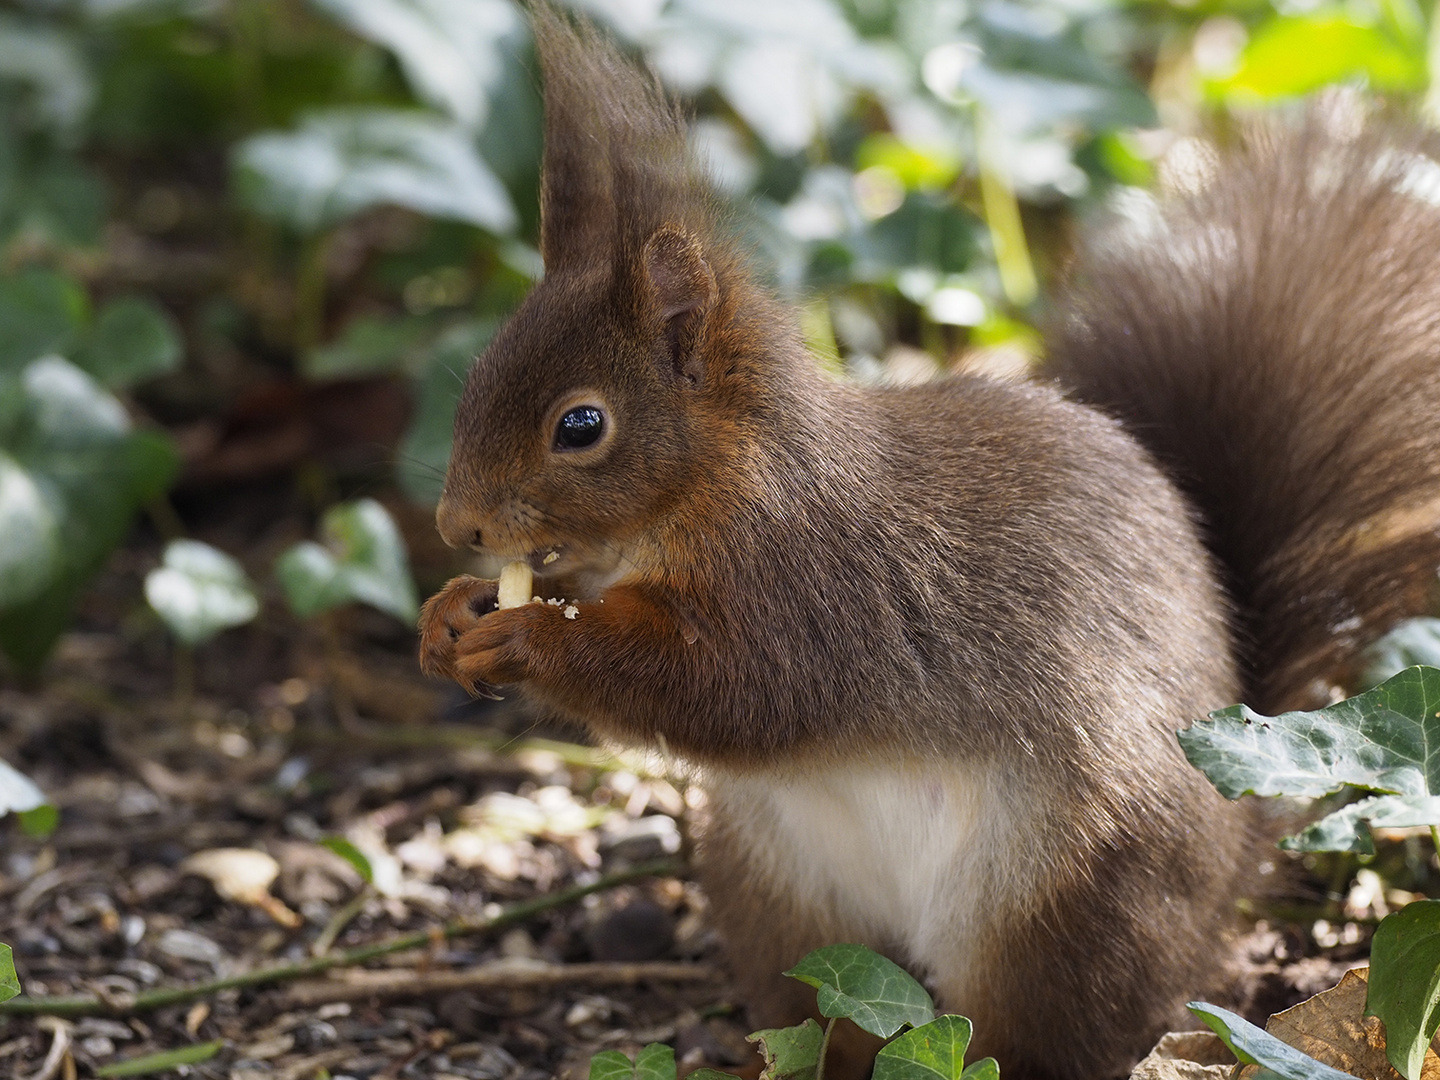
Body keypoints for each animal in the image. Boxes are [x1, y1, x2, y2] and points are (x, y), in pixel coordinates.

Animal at [414, 8, 1440, 1080]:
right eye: (477, 372)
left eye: (581, 426)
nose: (456, 526)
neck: (717, 483)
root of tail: (1237, 852)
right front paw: (448, 616)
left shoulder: (813, 586)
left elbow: (733, 691)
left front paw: (531, 639)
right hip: (780, 894)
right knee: (831, 1021)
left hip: (1068, 899)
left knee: (1028, 1035)